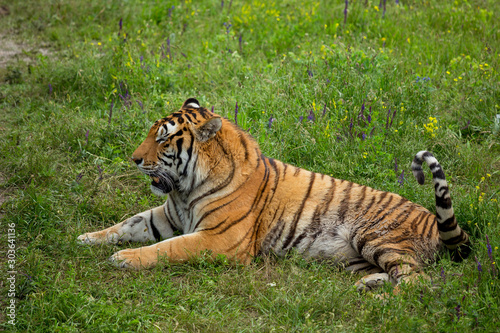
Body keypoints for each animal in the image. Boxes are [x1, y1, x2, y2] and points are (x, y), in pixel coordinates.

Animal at [78, 96, 472, 290]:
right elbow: (128, 223)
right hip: (361, 254)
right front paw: (87, 238)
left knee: (418, 283)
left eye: (162, 139)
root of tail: (432, 220)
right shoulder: (166, 216)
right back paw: (369, 284)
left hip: (377, 236)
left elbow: (169, 248)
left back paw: (378, 298)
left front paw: (125, 259)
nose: (134, 159)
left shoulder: (220, 239)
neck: (185, 189)